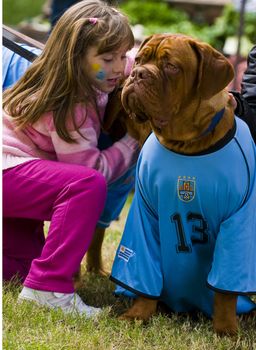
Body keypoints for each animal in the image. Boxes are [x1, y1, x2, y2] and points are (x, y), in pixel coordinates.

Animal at [110, 34, 256, 336]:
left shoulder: (238, 222)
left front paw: (225, 328)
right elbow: (145, 273)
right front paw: (138, 314)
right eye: (139, 59)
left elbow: (225, 290)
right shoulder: (144, 215)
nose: (137, 74)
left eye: (172, 67)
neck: (187, 145)